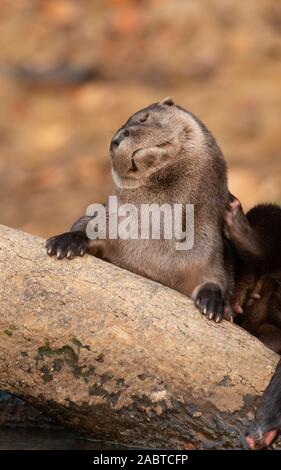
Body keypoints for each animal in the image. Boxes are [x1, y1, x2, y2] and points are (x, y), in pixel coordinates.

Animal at [47, 97, 233, 322]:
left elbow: (217, 279)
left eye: (144, 118)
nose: (118, 137)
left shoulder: (210, 251)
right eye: (111, 144)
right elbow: (85, 224)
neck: (156, 239)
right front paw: (66, 241)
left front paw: (215, 303)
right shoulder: (111, 219)